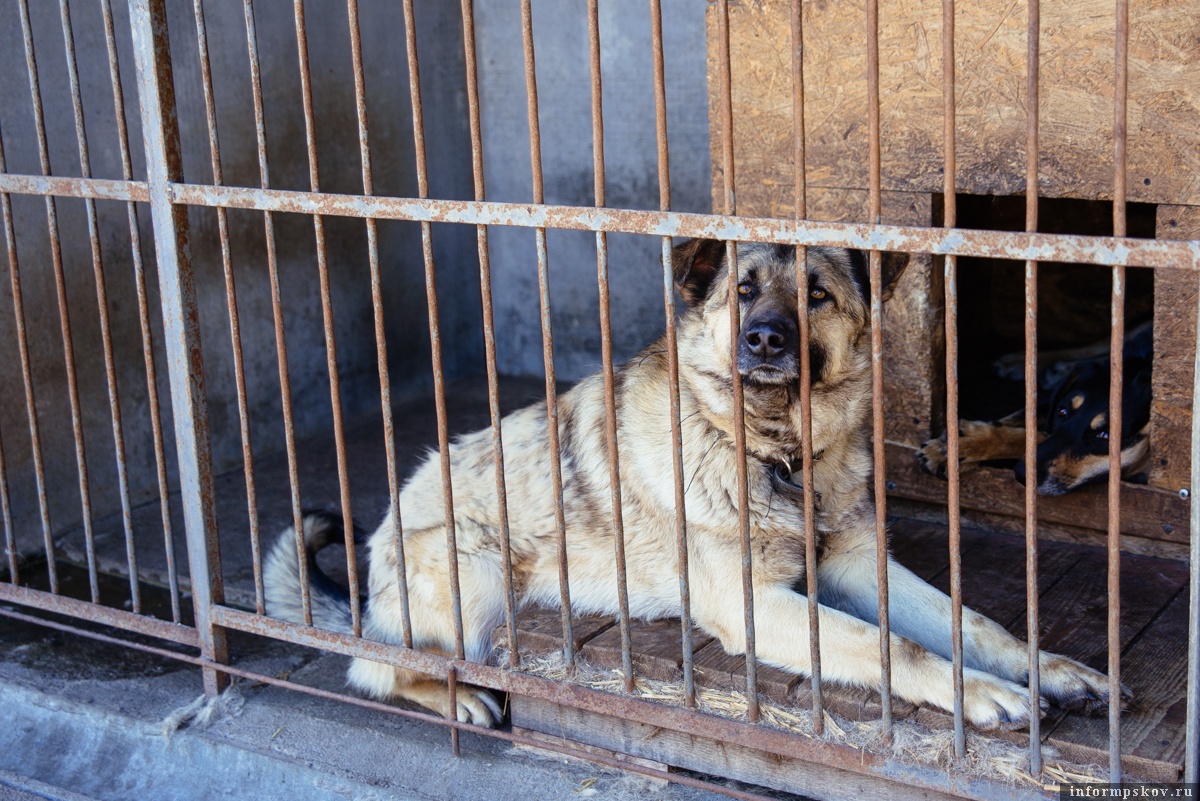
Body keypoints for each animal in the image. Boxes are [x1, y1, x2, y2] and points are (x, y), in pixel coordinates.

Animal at [265, 236, 1123, 724]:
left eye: (815, 295)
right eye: (741, 291)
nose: (765, 337)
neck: (773, 451)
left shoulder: (857, 565)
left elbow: (975, 625)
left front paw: (1054, 670)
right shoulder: (760, 606)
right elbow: (894, 647)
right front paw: (982, 693)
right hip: (474, 566)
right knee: (375, 666)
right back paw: (461, 692)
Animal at [916, 318, 1152, 494]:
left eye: (1106, 435)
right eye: (1062, 412)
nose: (1020, 474)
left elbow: (1034, 436)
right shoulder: (1049, 403)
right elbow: (1013, 424)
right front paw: (954, 446)